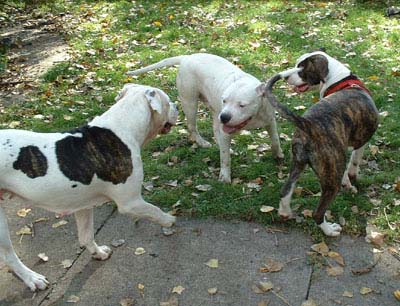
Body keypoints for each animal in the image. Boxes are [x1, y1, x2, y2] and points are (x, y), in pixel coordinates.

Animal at [0, 83, 178, 292]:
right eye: (167, 101)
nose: (177, 106)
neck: (124, 125)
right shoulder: (131, 202)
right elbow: (154, 210)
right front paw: (169, 220)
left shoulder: (82, 205)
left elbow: (86, 236)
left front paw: (98, 252)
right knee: (9, 256)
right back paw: (32, 278)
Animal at [126, 53, 282, 183]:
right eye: (224, 100)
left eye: (242, 105)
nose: (224, 117)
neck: (253, 117)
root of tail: (187, 57)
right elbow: (225, 158)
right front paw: (225, 176)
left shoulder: (270, 121)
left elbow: (275, 140)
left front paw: (278, 155)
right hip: (190, 103)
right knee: (192, 127)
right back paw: (202, 142)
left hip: (213, 108)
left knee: (215, 129)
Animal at [256, 50, 378, 237]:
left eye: (301, 68)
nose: (287, 77)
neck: (339, 80)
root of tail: (307, 123)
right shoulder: (360, 142)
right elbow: (354, 161)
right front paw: (352, 180)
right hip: (331, 177)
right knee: (318, 212)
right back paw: (329, 230)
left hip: (298, 162)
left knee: (285, 191)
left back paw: (285, 212)